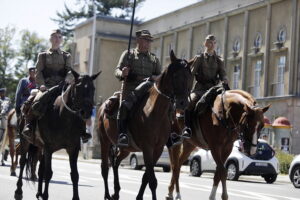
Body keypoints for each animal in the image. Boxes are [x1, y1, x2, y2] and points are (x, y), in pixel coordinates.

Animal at [14, 69, 101, 200]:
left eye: (93, 88)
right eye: (78, 87)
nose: (86, 111)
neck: (63, 116)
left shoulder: (73, 149)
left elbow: (74, 174)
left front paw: (75, 197)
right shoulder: (49, 148)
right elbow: (48, 173)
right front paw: (46, 195)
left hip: (41, 147)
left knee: (40, 168)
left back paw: (39, 193)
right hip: (26, 141)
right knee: (23, 162)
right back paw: (19, 191)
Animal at [97, 50, 193, 200]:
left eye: (190, 76)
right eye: (176, 75)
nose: (183, 103)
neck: (155, 111)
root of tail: (103, 107)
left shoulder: (158, 149)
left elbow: (146, 177)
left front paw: (139, 197)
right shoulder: (148, 148)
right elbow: (152, 180)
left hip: (126, 148)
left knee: (116, 162)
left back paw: (116, 192)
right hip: (105, 141)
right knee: (105, 168)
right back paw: (107, 194)